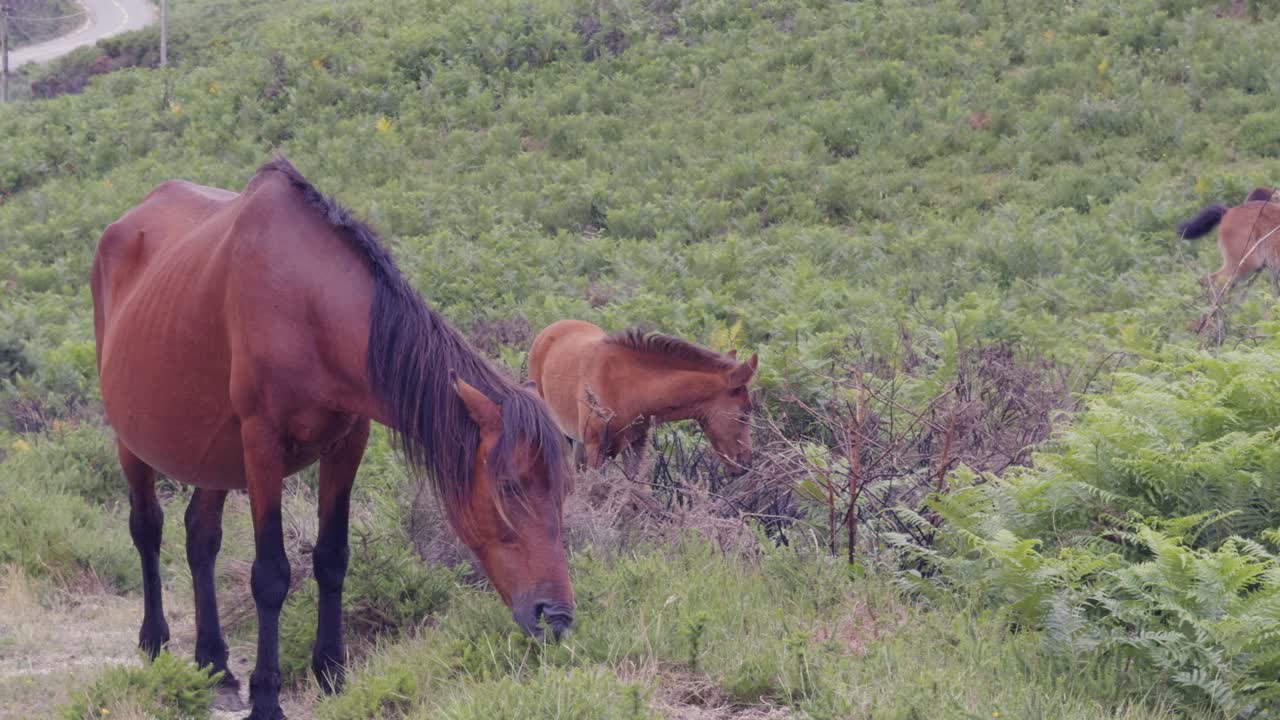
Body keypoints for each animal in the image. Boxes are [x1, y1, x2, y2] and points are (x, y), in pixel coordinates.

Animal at [91, 156, 573, 720]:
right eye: (510, 487)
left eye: (562, 492)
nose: (556, 616)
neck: (306, 304)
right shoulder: (262, 446)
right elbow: (271, 575)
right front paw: (267, 697)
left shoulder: (347, 444)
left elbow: (331, 558)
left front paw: (332, 674)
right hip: (133, 442)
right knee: (148, 528)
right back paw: (156, 644)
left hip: (214, 455)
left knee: (200, 536)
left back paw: (215, 667)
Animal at [527, 320, 757, 476]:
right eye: (744, 414)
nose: (746, 464)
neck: (628, 388)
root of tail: (549, 330)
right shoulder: (596, 449)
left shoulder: (635, 445)